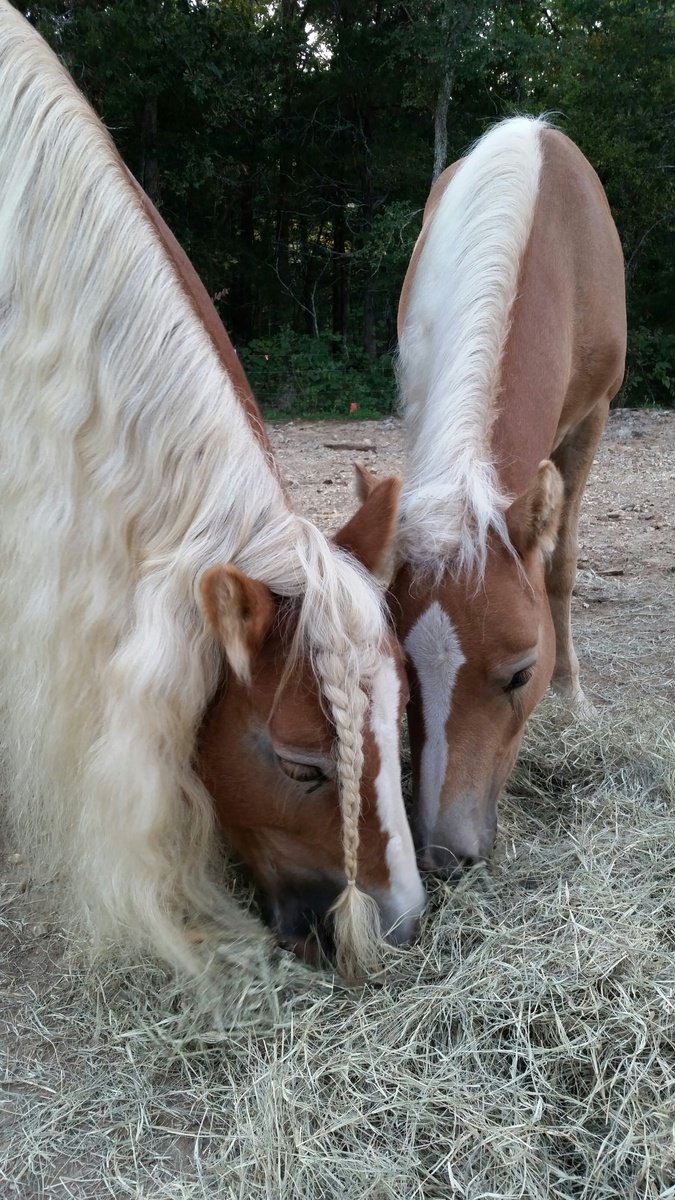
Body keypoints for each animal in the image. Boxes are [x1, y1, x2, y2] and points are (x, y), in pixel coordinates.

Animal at [357, 114, 624, 873]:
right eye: (405, 675)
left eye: (520, 675)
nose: (444, 851)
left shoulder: (592, 420)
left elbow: (559, 567)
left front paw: (571, 696)